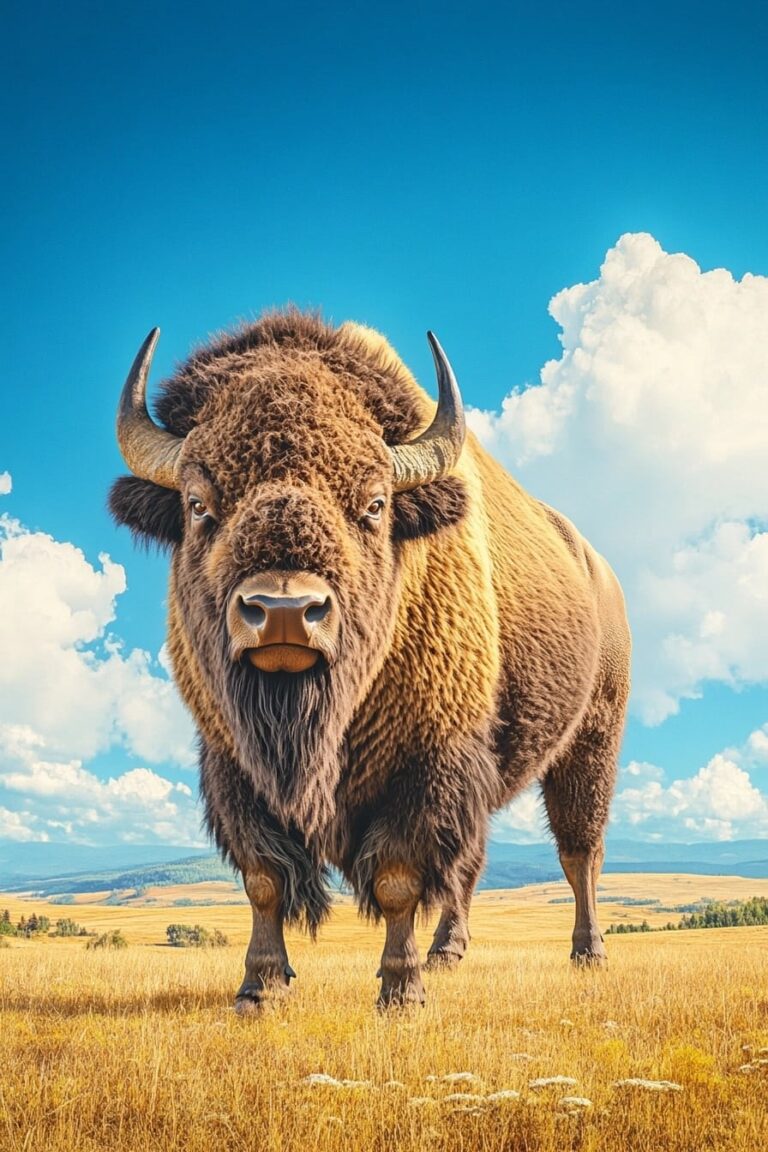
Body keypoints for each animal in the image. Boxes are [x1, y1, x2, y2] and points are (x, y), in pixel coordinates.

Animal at [110, 311, 631, 1010]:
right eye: (198, 504)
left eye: (375, 504)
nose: (284, 610)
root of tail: (597, 569)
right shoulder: (233, 766)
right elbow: (264, 878)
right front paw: (259, 988)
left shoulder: (426, 766)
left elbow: (397, 879)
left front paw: (400, 992)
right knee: (473, 866)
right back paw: (447, 953)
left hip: (592, 741)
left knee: (580, 852)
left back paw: (587, 953)